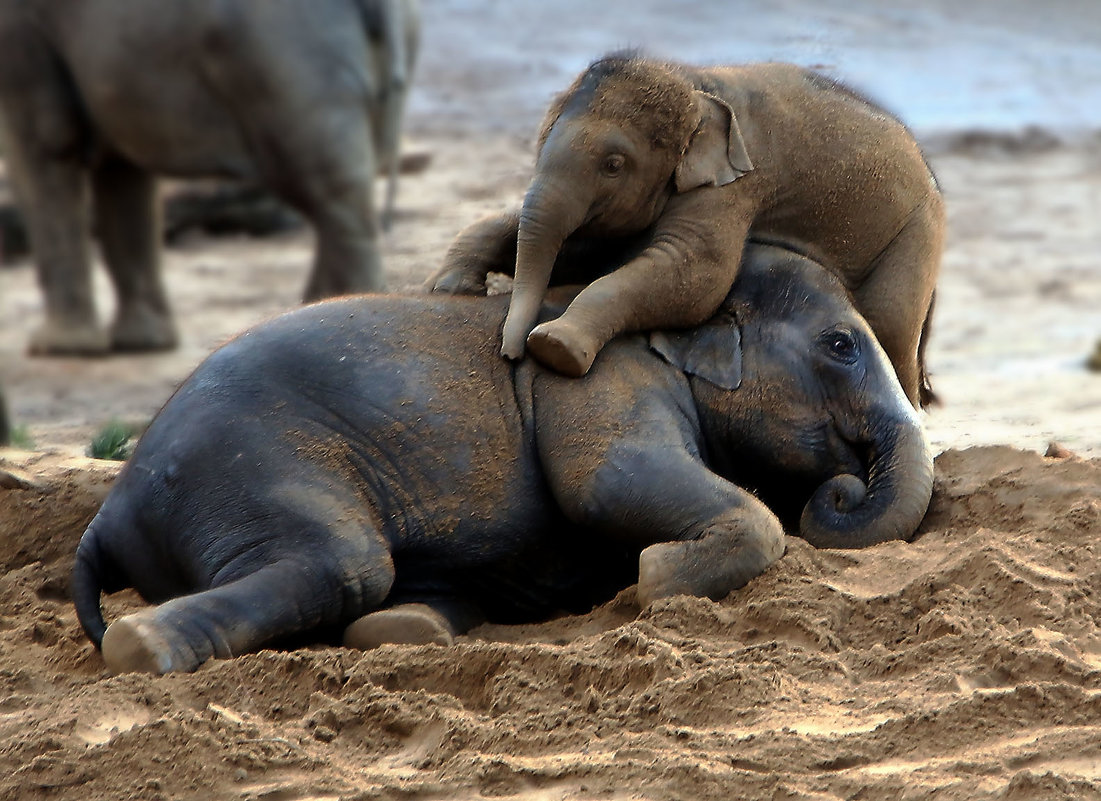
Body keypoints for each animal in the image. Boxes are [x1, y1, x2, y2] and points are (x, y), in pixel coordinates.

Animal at [0, 0, 418, 356]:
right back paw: (316, 308)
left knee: (331, 195)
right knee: (341, 196)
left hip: (292, 64)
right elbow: (123, 170)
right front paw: (144, 343)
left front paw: (57, 349)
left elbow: (48, 141)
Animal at [73, 245, 933, 677]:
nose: (840, 489)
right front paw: (654, 578)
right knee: (343, 562)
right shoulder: (598, 382)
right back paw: (142, 646)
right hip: (246, 474)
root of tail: (107, 517)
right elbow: (603, 481)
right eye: (840, 345)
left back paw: (406, 629)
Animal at [424, 54, 942, 407]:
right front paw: (447, 287)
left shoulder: (736, 184)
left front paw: (555, 347)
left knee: (890, 325)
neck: (692, 84)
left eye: (613, 165)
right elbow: (587, 247)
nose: (511, 354)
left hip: (915, 236)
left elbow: (696, 276)